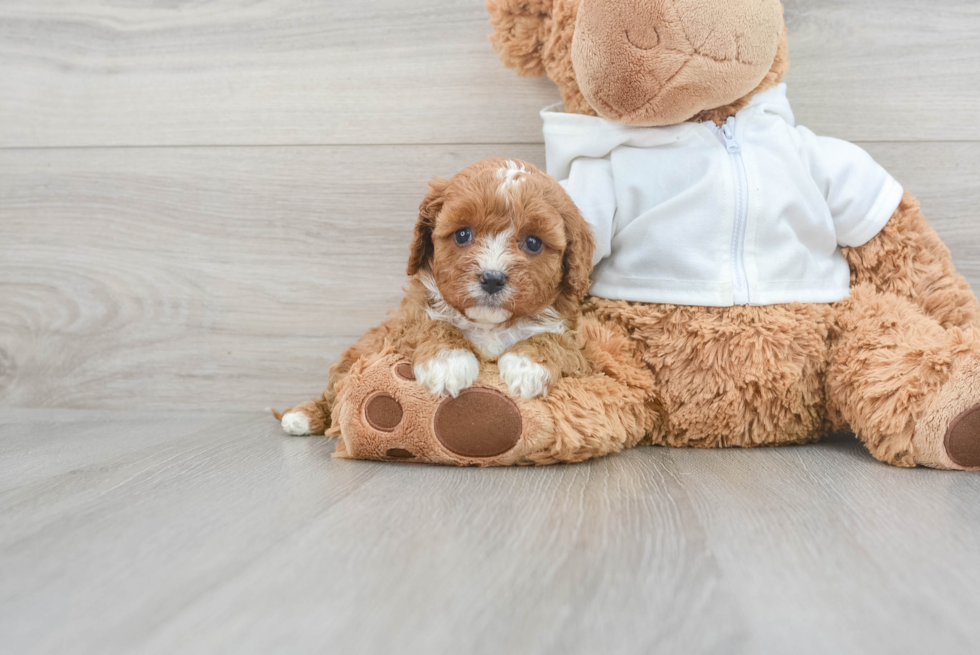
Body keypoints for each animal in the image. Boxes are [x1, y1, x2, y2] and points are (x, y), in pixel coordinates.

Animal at [280, 157, 592, 438]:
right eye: (463, 234)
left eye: (533, 242)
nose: (492, 278)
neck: (488, 325)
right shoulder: (406, 324)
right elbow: (432, 325)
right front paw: (448, 362)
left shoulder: (574, 342)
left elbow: (553, 341)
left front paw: (527, 367)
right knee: (334, 392)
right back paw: (302, 416)